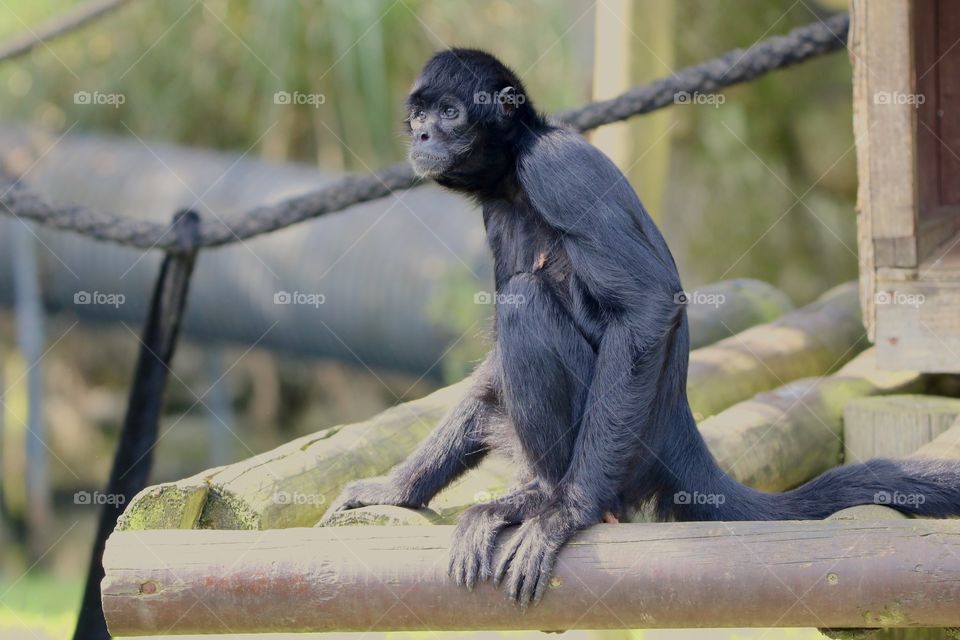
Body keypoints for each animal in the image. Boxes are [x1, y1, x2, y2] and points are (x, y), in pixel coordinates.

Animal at [321, 49, 960, 608]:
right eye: (418, 117)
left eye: (449, 113)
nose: (422, 137)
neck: (517, 175)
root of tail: (675, 421)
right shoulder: (497, 212)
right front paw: (394, 489)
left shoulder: (557, 169)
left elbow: (650, 304)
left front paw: (566, 514)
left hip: (624, 447)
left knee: (526, 300)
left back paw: (540, 499)